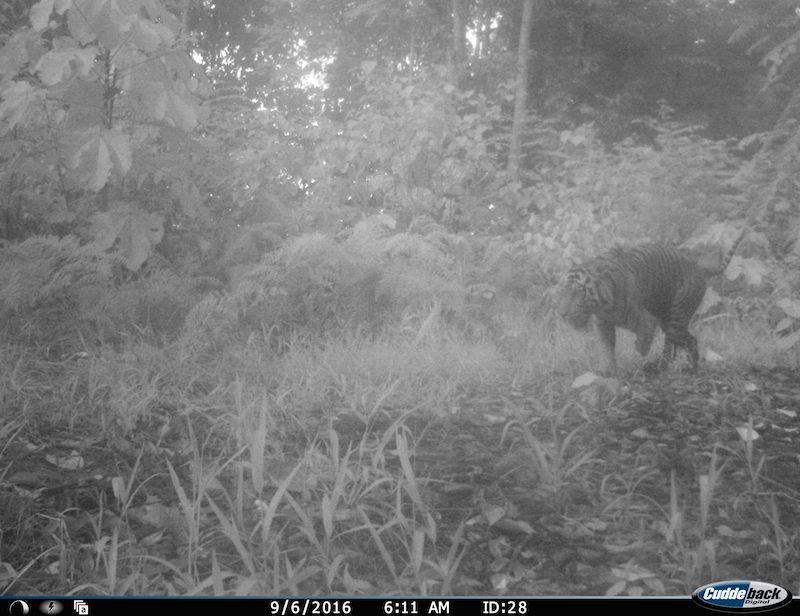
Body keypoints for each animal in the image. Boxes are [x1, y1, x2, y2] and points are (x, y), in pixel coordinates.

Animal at [556, 232, 744, 370]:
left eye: (578, 291)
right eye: (563, 291)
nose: (562, 314)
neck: (602, 306)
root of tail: (697, 264)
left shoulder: (646, 320)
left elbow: (642, 343)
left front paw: (639, 358)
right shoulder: (603, 324)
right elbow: (606, 348)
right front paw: (607, 370)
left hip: (676, 319)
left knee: (683, 342)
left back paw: (678, 367)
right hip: (667, 320)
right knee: (678, 343)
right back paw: (674, 366)